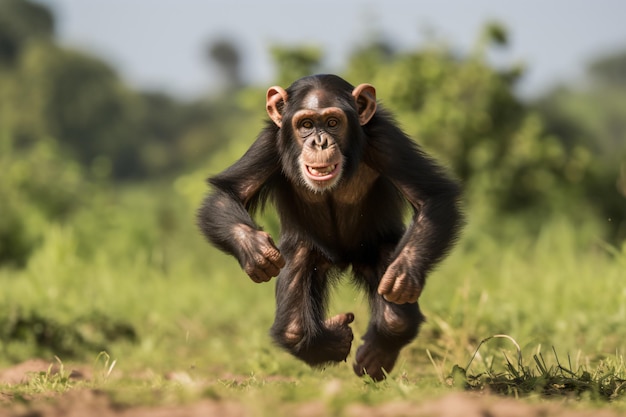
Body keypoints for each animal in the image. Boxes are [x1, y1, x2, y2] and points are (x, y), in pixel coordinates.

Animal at [197, 73, 460, 378]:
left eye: (333, 122)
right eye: (306, 124)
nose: (320, 142)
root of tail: (344, 261)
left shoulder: (386, 139)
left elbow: (431, 196)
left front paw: (404, 273)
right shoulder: (267, 144)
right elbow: (228, 193)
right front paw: (254, 249)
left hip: (375, 250)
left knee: (396, 317)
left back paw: (375, 354)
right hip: (308, 253)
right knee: (294, 327)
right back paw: (335, 341)